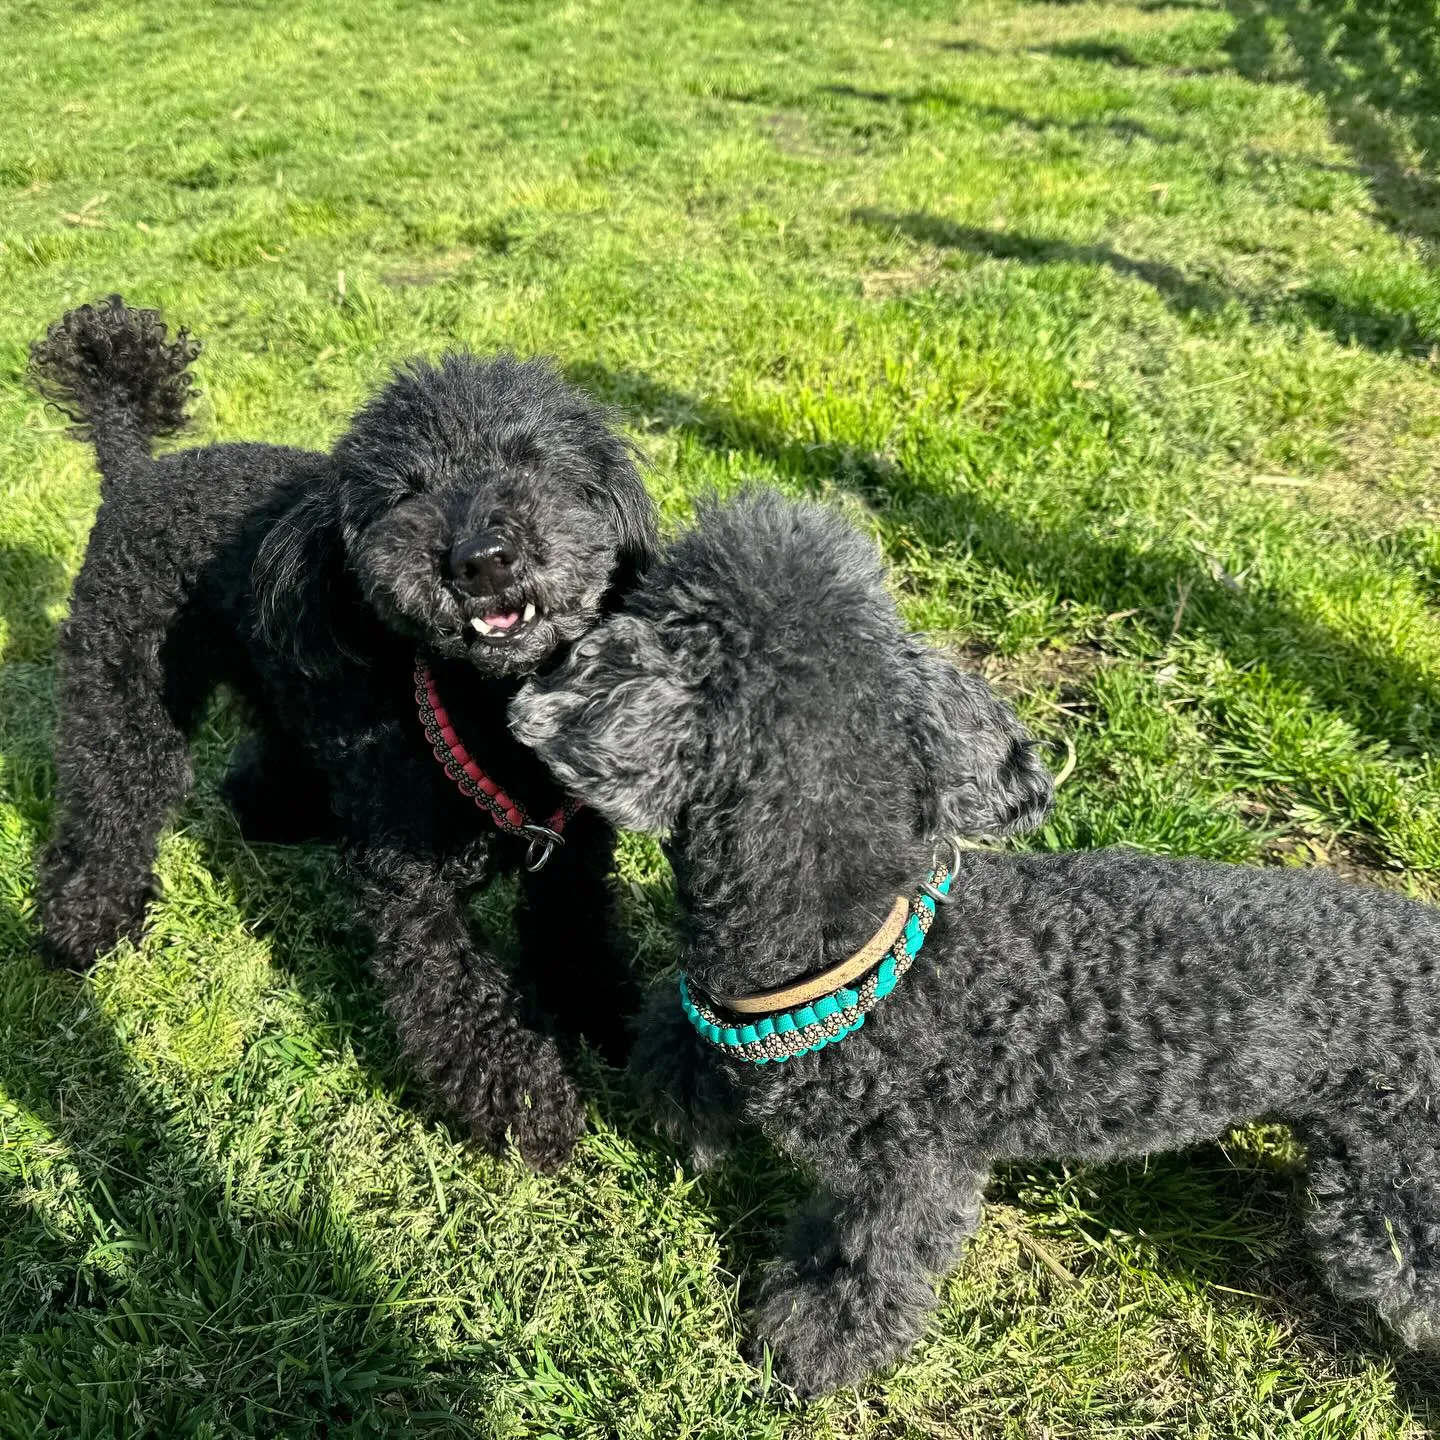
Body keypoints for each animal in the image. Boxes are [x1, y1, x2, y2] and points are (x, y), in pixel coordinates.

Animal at [30, 298, 656, 1175]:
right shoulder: (410, 888)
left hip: (278, 675)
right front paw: (531, 1106)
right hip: (122, 684)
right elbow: (460, 998)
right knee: (112, 796)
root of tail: (134, 472)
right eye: (405, 492)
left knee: (256, 771)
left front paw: (619, 1026)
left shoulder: (569, 858)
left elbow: (581, 940)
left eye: (532, 463)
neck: (484, 714)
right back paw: (84, 924)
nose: (483, 560)